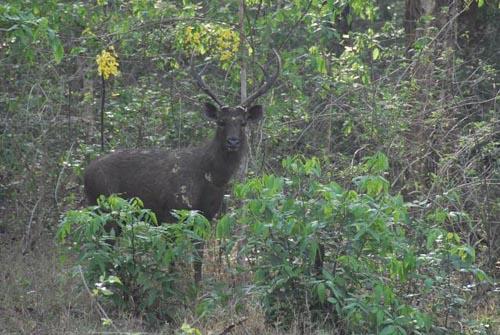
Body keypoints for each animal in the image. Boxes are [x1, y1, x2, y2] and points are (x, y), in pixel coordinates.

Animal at [85, 51, 282, 284]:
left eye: (242, 123)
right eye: (221, 122)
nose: (233, 142)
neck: (210, 179)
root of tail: (85, 174)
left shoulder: (206, 217)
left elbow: (198, 260)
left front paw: (198, 287)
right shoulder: (173, 211)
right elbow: (172, 257)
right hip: (107, 208)